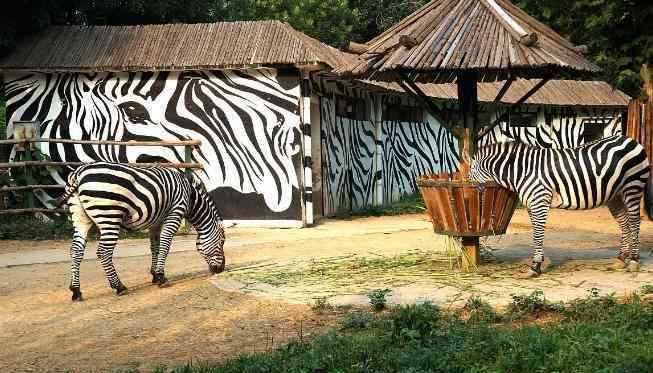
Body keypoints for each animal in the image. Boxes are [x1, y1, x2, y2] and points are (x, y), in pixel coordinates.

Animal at [58, 162, 227, 300]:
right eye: (222, 242)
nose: (221, 269)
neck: (191, 197)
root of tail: (78, 173)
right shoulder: (175, 213)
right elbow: (165, 245)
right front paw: (161, 277)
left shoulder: (156, 222)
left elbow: (155, 247)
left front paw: (154, 274)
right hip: (109, 216)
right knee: (103, 252)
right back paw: (119, 286)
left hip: (80, 217)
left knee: (76, 250)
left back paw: (76, 290)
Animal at [468, 135, 652, 274]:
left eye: (469, 172)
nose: (468, 190)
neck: (522, 171)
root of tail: (631, 140)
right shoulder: (531, 203)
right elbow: (536, 232)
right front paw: (540, 262)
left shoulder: (540, 200)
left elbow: (538, 233)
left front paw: (535, 266)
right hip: (615, 195)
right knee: (624, 222)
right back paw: (621, 259)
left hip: (633, 186)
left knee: (635, 222)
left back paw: (634, 261)